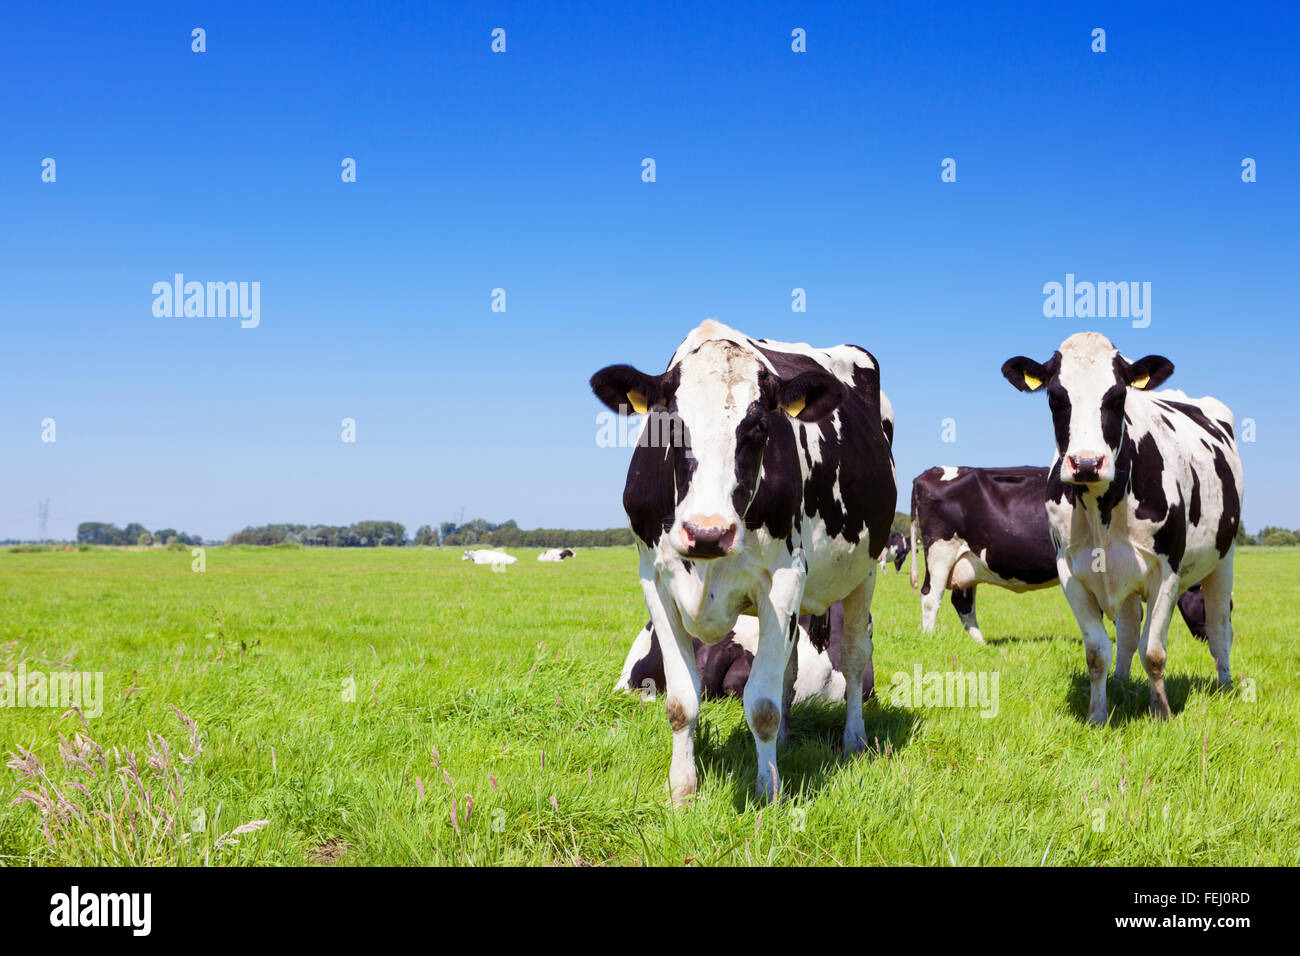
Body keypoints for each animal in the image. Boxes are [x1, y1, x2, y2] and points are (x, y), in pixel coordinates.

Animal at [910, 464, 1213, 644]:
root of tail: (930, 472)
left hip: (967, 562)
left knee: (962, 602)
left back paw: (981, 643)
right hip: (940, 551)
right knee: (931, 596)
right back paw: (929, 637)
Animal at [1002, 332, 1243, 723]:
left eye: (1118, 397)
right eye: (1055, 398)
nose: (1086, 463)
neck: (1101, 506)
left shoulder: (1167, 570)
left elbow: (1154, 651)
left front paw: (1161, 712)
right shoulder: (1069, 572)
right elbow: (1099, 651)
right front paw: (1097, 714)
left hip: (1224, 559)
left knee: (1220, 627)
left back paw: (1225, 685)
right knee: (1128, 630)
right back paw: (1120, 681)